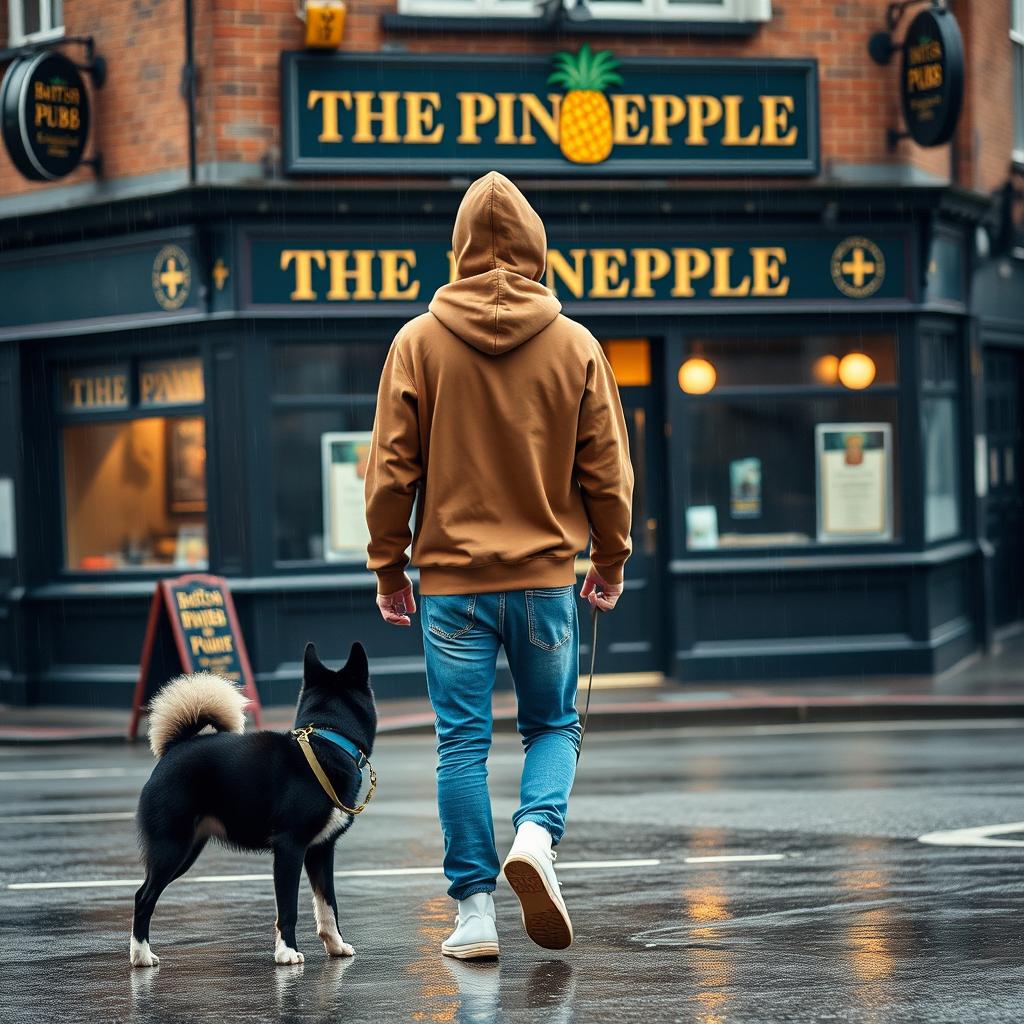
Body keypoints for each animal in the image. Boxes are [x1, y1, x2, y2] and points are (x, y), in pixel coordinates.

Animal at [130, 638, 378, 966]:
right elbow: (288, 908)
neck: (328, 740)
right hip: (171, 847)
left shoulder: (322, 850)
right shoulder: (289, 848)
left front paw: (335, 945)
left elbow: (328, 903)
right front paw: (286, 952)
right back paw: (141, 954)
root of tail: (174, 748)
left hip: (187, 850)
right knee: (143, 897)